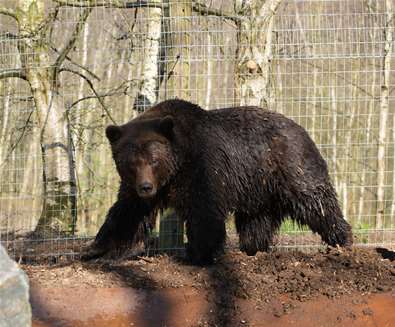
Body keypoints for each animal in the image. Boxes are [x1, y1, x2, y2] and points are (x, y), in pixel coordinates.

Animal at [82, 98, 354, 266]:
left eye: (154, 160)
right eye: (131, 162)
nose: (146, 187)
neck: (176, 167)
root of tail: (303, 129)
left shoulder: (201, 168)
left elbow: (204, 212)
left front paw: (200, 253)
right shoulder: (140, 191)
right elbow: (125, 214)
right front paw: (95, 250)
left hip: (290, 167)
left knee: (316, 203)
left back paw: (342, 240)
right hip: (257, 189)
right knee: (256, 222)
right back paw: (253, 249)